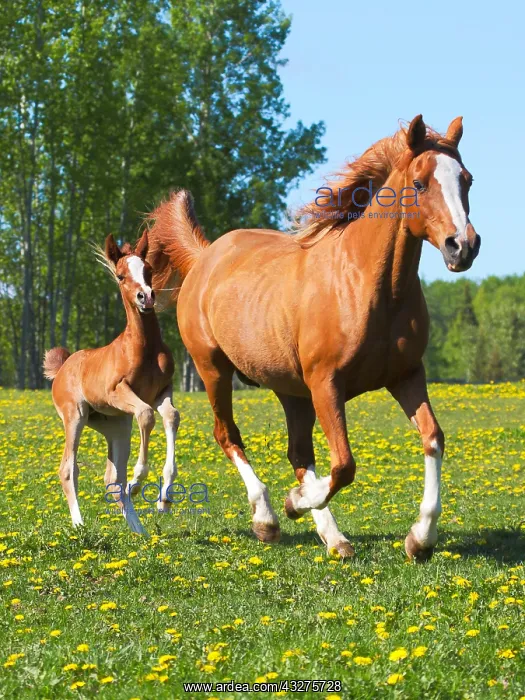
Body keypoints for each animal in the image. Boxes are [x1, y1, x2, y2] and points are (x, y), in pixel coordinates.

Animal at [43, 231, 180, 534]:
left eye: (149, 269)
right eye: (120, 275)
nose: (146, 297)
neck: (144, 348)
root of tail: (63, 366)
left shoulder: (162, 391)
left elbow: (171, 416)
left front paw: (164, 498)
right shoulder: (118, 391)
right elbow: (146, 415)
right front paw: (138, 481)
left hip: (115, 424)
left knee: (112, 479)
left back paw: (140, 533)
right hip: (76, 415)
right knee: (68, 469)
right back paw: (79, 524)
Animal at [146, 115, 480, 561]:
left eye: (467, 179)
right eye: (420, 183)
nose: (463, 246)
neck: (370, 287)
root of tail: (204, 257)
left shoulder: (407, 376)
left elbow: (432, 439)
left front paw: (420, 539)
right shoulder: (326, 383)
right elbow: (345, 464)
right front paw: (294, 502)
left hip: (292, 390)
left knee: (299, 453)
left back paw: (333, 537)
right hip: (213, 369)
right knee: (229, 436)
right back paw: (268, 518)